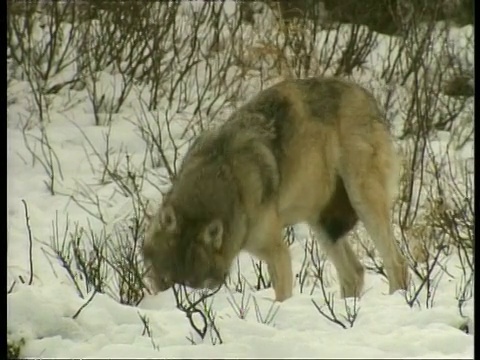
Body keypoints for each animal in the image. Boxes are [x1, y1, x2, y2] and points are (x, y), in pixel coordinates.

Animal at [142, 76, 408, 300]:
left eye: (193, 285)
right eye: (165, 281)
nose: (176, 300)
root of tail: (368, 96)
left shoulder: (277, 251)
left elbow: (282, 296)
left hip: (362, 202)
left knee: (397, 262)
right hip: (321, 224)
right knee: (355, 273)